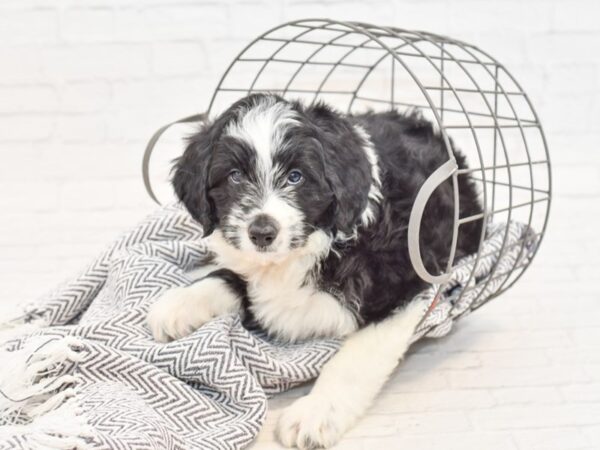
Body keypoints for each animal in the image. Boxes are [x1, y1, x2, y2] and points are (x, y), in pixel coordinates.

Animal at [146, 93, 482, 448]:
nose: (262, 232)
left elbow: (355, 358)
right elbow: (231, 276)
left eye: (296, 177)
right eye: (235, 176)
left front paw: (314, 413)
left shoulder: (403, 287)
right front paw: (178, 304)